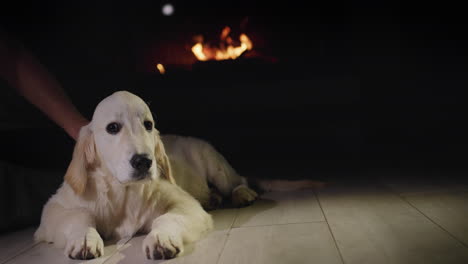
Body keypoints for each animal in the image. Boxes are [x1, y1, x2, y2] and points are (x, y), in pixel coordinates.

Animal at [33, 91, 213, 260]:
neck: (124, 191)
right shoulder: (52, 209)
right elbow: (80, 214)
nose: (144, 162)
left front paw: (161, 237)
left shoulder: (187, 203)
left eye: (148, 125)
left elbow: (166, 218)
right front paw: (84, 238)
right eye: (112, 127)